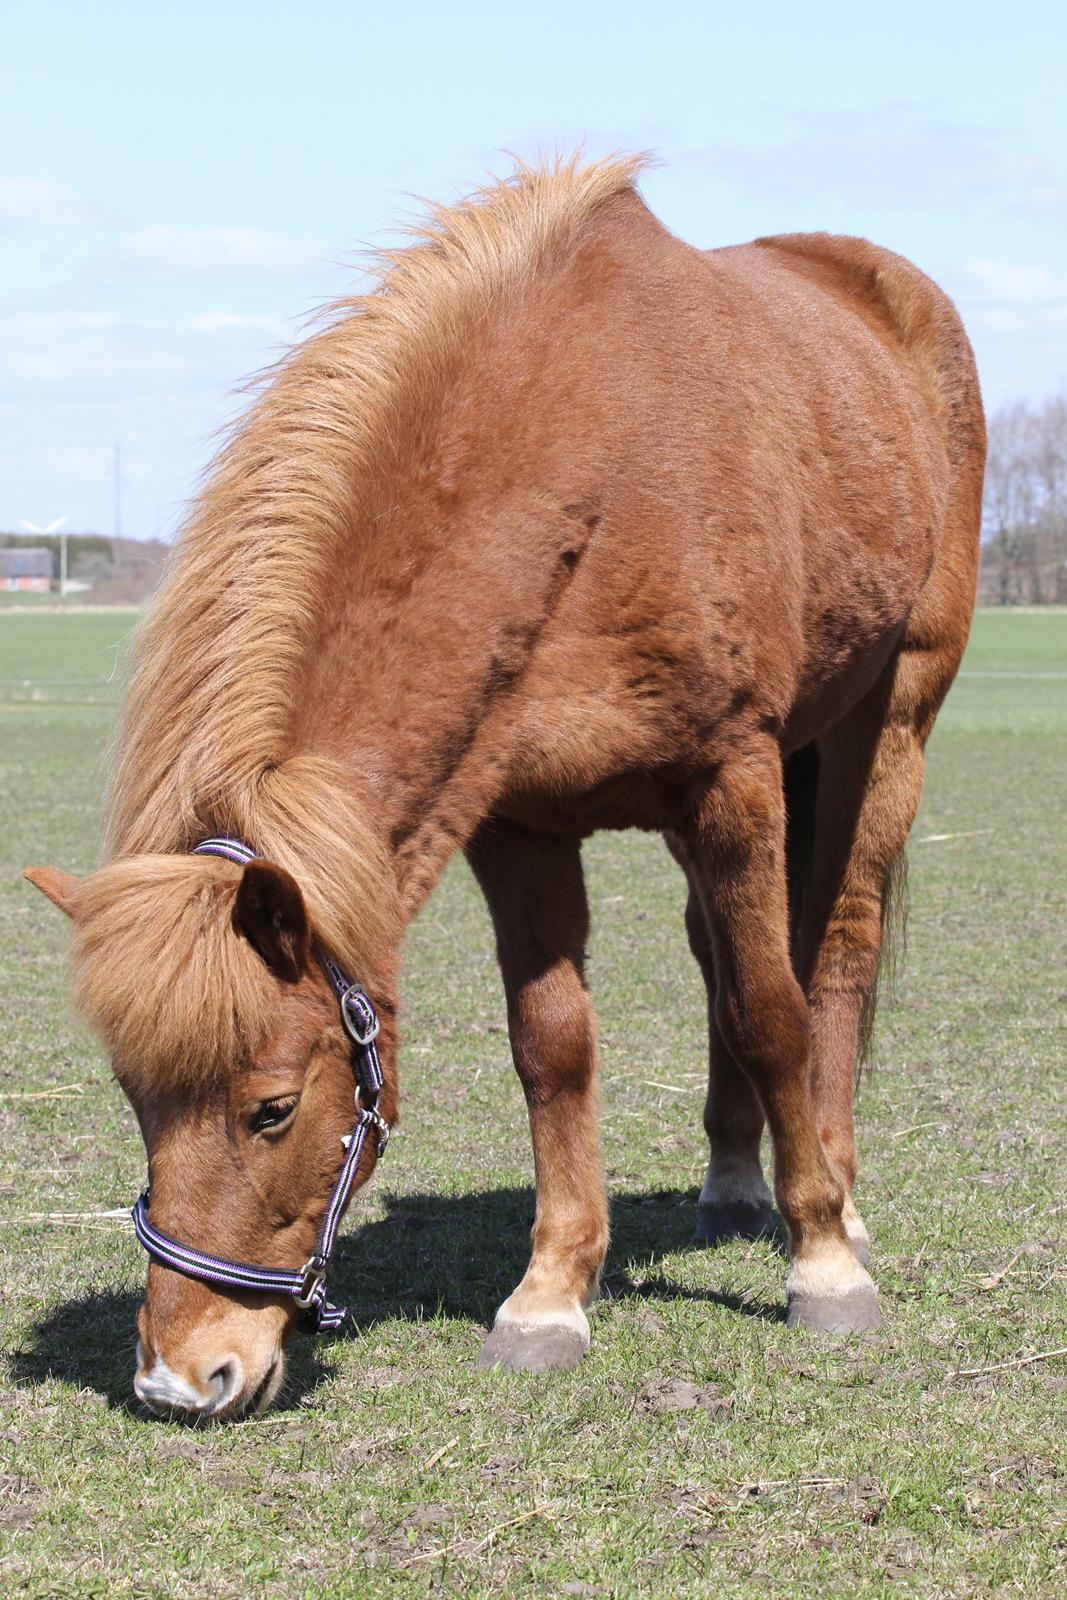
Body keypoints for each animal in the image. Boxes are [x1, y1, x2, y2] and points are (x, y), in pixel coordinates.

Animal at [24, 156, 991, 1420]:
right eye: (133, 1096)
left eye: (271, 1107)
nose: (182, 1376)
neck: (589, 467)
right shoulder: (517, 818)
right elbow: (554, 1043)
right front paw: (549, 1292)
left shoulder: (731, 774)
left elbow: (771, 1010)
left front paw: (820, 1262)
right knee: (715, 952)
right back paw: (735, 1178)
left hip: (885, 723)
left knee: (832, 947)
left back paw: (829, 1187)